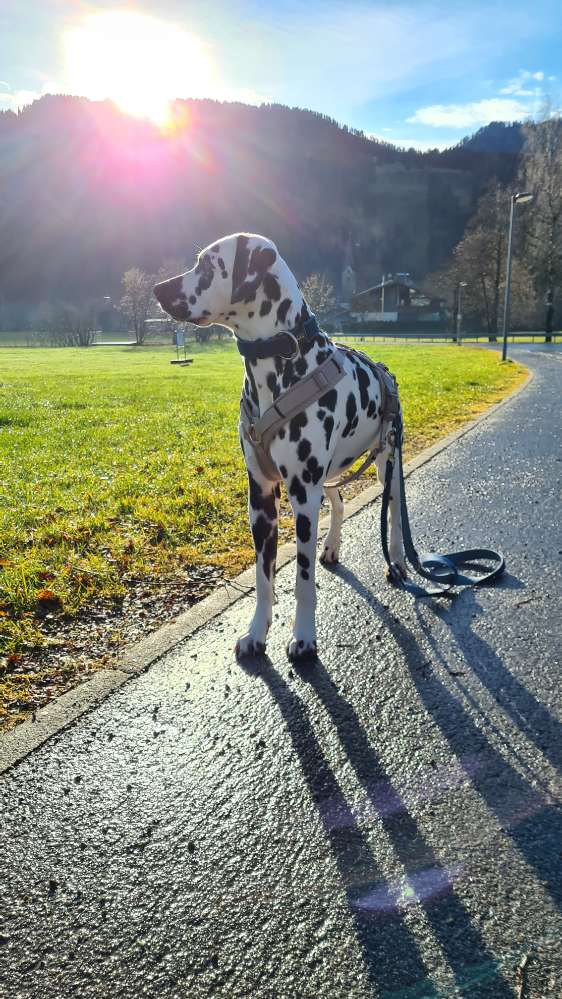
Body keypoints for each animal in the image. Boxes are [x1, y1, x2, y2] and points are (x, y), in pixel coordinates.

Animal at [153, 234, 404, 664]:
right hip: (328, 478)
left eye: (208, 264)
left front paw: (304, 638)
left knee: (395, 517)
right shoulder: (261, 500)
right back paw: (331, 547)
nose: (157, 289)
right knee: (338, 503)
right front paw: (257, 634)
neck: (281, 365)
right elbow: (263, 577)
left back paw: (399, 562)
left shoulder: (302, 497)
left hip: (386, 465)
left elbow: (303, 579)